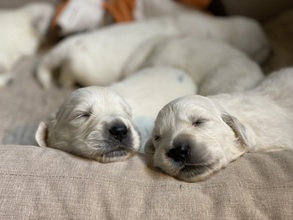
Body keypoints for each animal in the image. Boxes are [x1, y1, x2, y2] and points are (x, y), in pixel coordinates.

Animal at [35, 11, 268, 89]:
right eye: (260, 48)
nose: (270, 51)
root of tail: (62, 48)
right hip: (80, 66)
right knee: (66, 74)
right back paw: (65, 82)